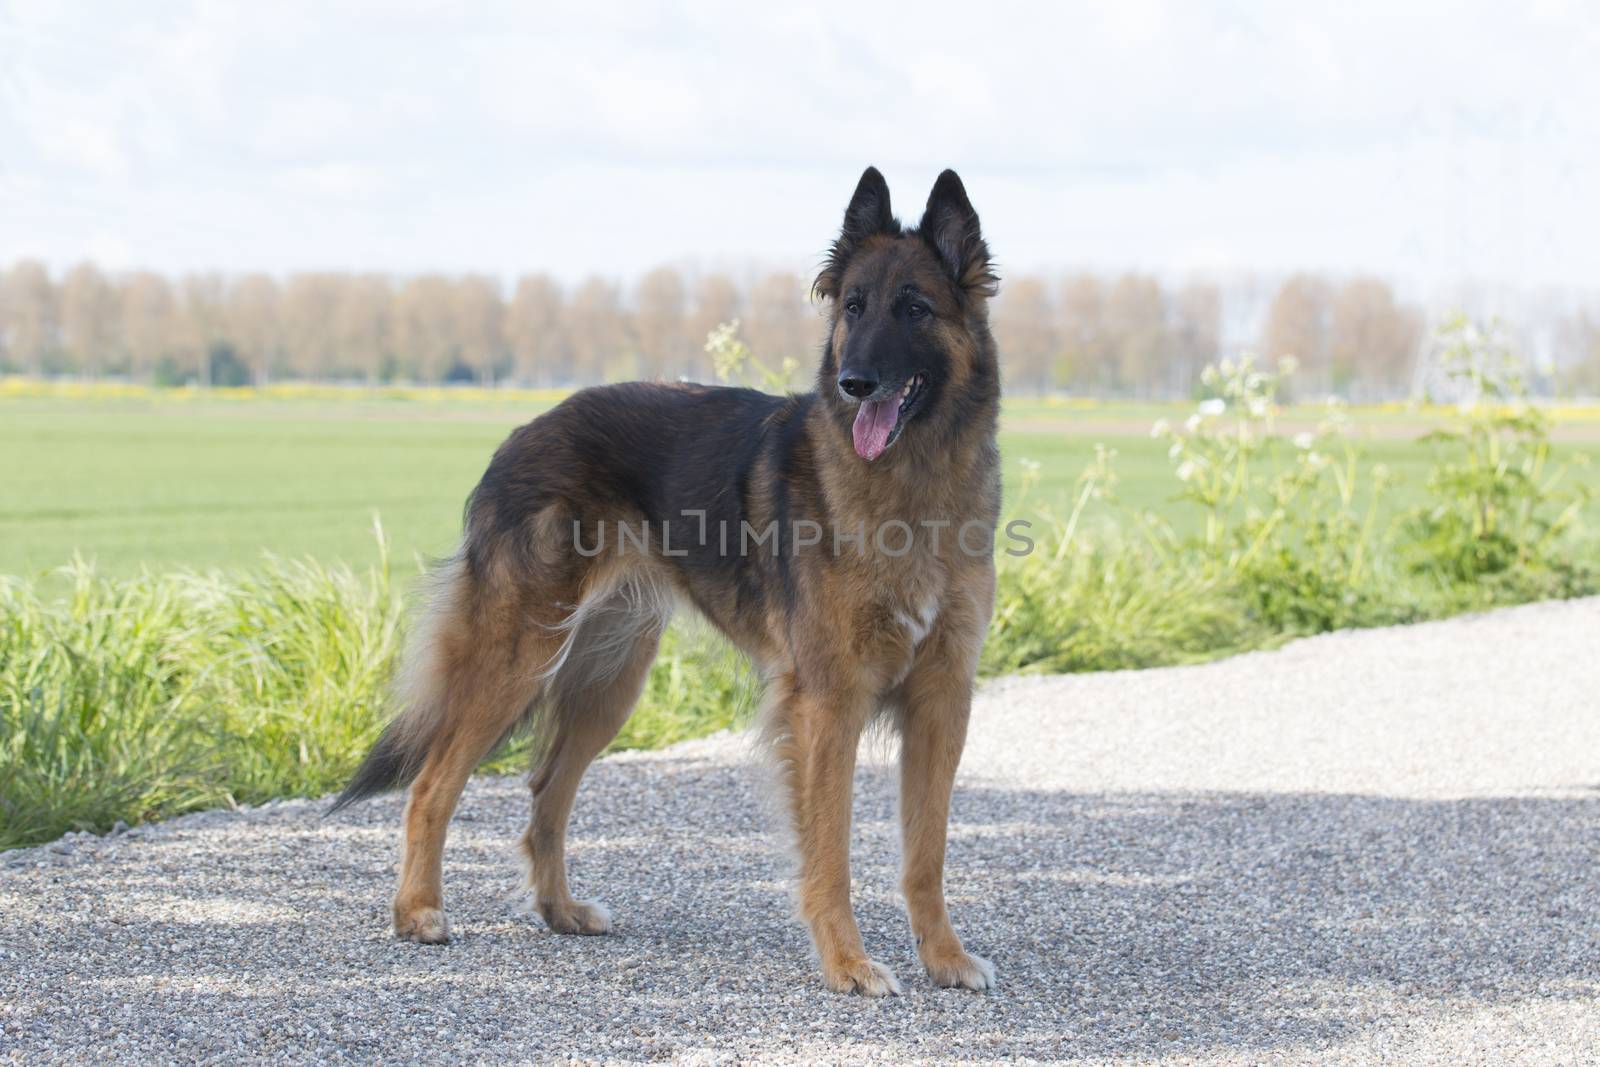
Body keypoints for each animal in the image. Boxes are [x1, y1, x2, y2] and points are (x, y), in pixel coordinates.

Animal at [332, 164, 998, 991]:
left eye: (914, 308)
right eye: (853, 306)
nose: (853, 383)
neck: (913, 483)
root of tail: (522, 431)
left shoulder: (943, 695)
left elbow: (926, 852)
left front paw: (944, 956)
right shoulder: (828, 701)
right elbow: (832, 851)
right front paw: (847, 962)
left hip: (607, 682)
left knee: (546, 791)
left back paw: (560, 909)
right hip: (516, 661)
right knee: (431, 785)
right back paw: (418, 911)